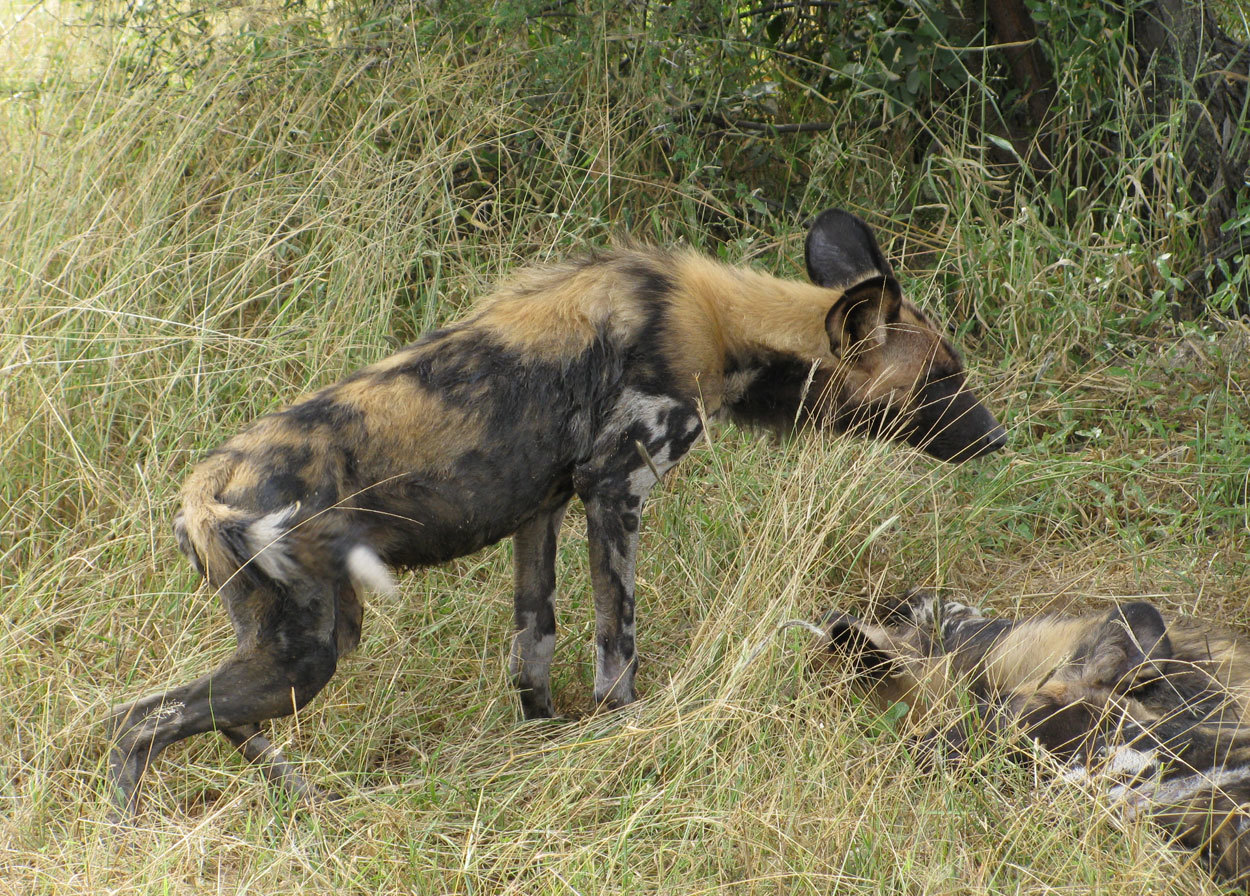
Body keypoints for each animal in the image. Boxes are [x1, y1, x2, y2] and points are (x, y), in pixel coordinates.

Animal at [110, 209, 1005, 809]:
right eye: (939, 382)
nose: (998, 439)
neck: (722, 326)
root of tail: (203, 487)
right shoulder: (616, 493)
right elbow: (618, 649)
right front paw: (623, 732)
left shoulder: (537, 514)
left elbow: (531, 649)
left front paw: (541, 741)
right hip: (306, 654)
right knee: (137, 722)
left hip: (303, 640)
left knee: (209, 719)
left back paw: (306, 803)